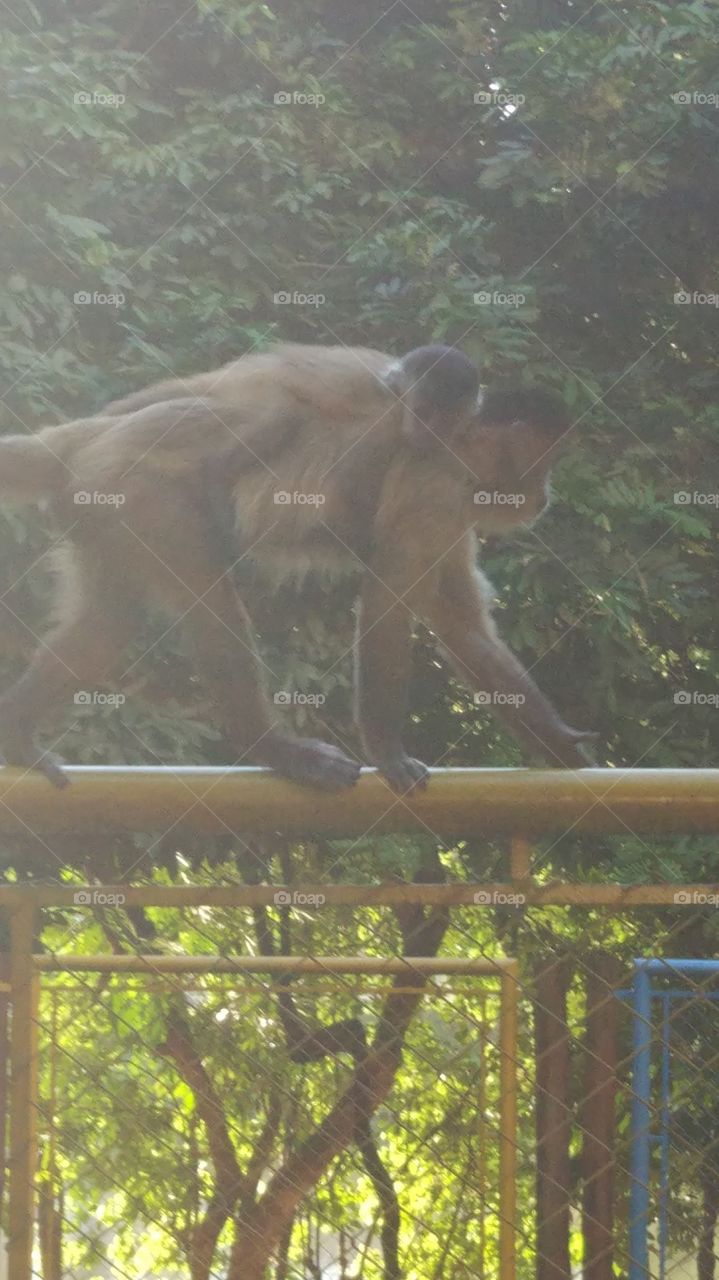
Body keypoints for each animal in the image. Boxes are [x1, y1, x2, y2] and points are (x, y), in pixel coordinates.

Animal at [0, 341, 595, 791]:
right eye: (546, 463)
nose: (546, 495)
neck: (456, 449)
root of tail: (83, 444)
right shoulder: (434, 489)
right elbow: (386, 607)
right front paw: (388, 752)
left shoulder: (455, 510)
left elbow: (462, 626)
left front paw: (558, 742)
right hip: (137, 487)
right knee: (207, 592)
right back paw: (268, 746)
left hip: (99, 503)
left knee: (109, 619)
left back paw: (18, 735)